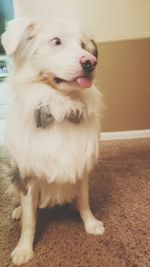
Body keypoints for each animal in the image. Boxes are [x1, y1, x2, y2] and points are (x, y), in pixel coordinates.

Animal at [1, 17, 104, 266]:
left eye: (84, 46)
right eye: (56, 41)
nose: (91, 62)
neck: (60, 109)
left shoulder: (81, 167)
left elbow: (84, 200)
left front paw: (90, 223)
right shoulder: (27, 175)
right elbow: (30, 220)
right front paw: (24, 250)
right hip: (13, 176)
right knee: (19, 201)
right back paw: (17, 211)